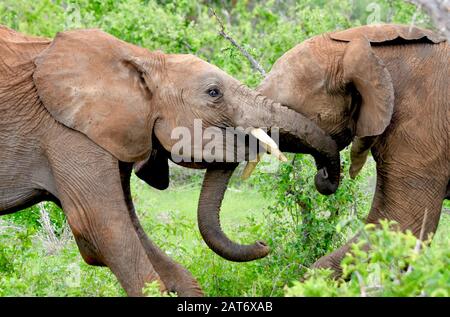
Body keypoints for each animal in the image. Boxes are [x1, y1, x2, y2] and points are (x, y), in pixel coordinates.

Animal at [0, 25, 340, 296]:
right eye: (213, 93)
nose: (263, 244)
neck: (141, 57)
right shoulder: (66, 133)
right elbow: (102, 228)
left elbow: (132, 231)